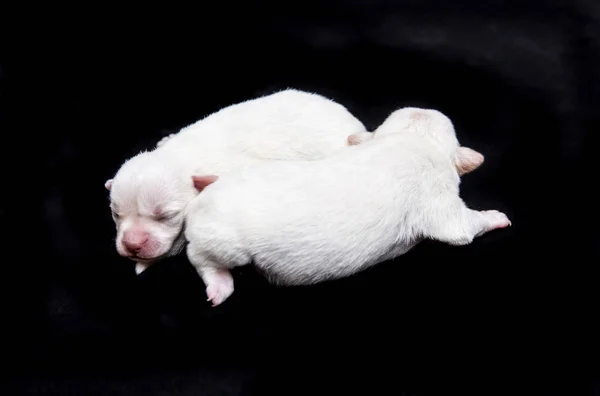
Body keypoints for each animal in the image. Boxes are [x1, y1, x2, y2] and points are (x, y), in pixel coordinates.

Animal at [184, 107, 510, 306]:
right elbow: (462, 227)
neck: (410, 137)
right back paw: (219, 284)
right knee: (199, 256)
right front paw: (494, 216)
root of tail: (200, 202)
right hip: (225, 244)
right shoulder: (442, 202)